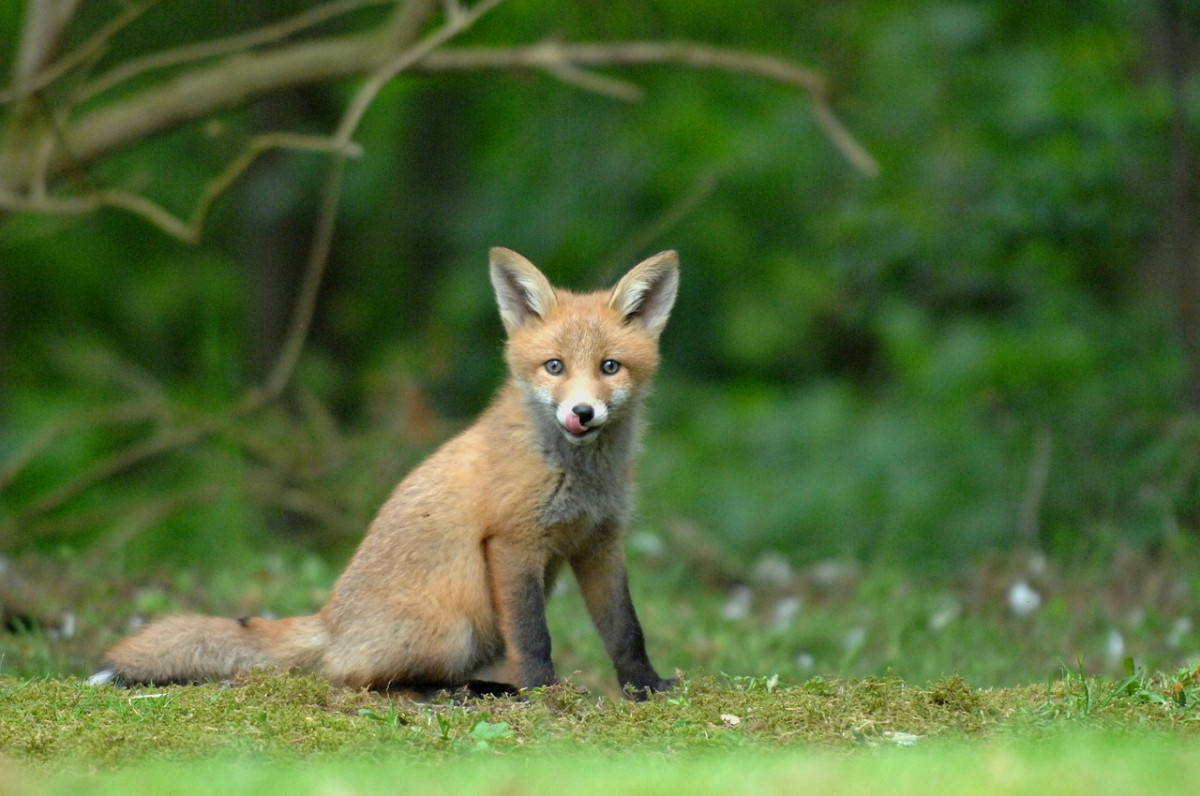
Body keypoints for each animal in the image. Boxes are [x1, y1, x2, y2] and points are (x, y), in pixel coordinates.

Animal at [87, 247, 681, 696]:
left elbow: (626, 631)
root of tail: (329, 620)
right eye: (554, 367)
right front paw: (543, 693)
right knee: (357, 678)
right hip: (458, 626)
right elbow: (535, 637)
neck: (579, 476)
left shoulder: (599, 543)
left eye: (609, 367)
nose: (581, 413)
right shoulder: (513, 543)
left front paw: (647, 689)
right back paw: (474, 691)